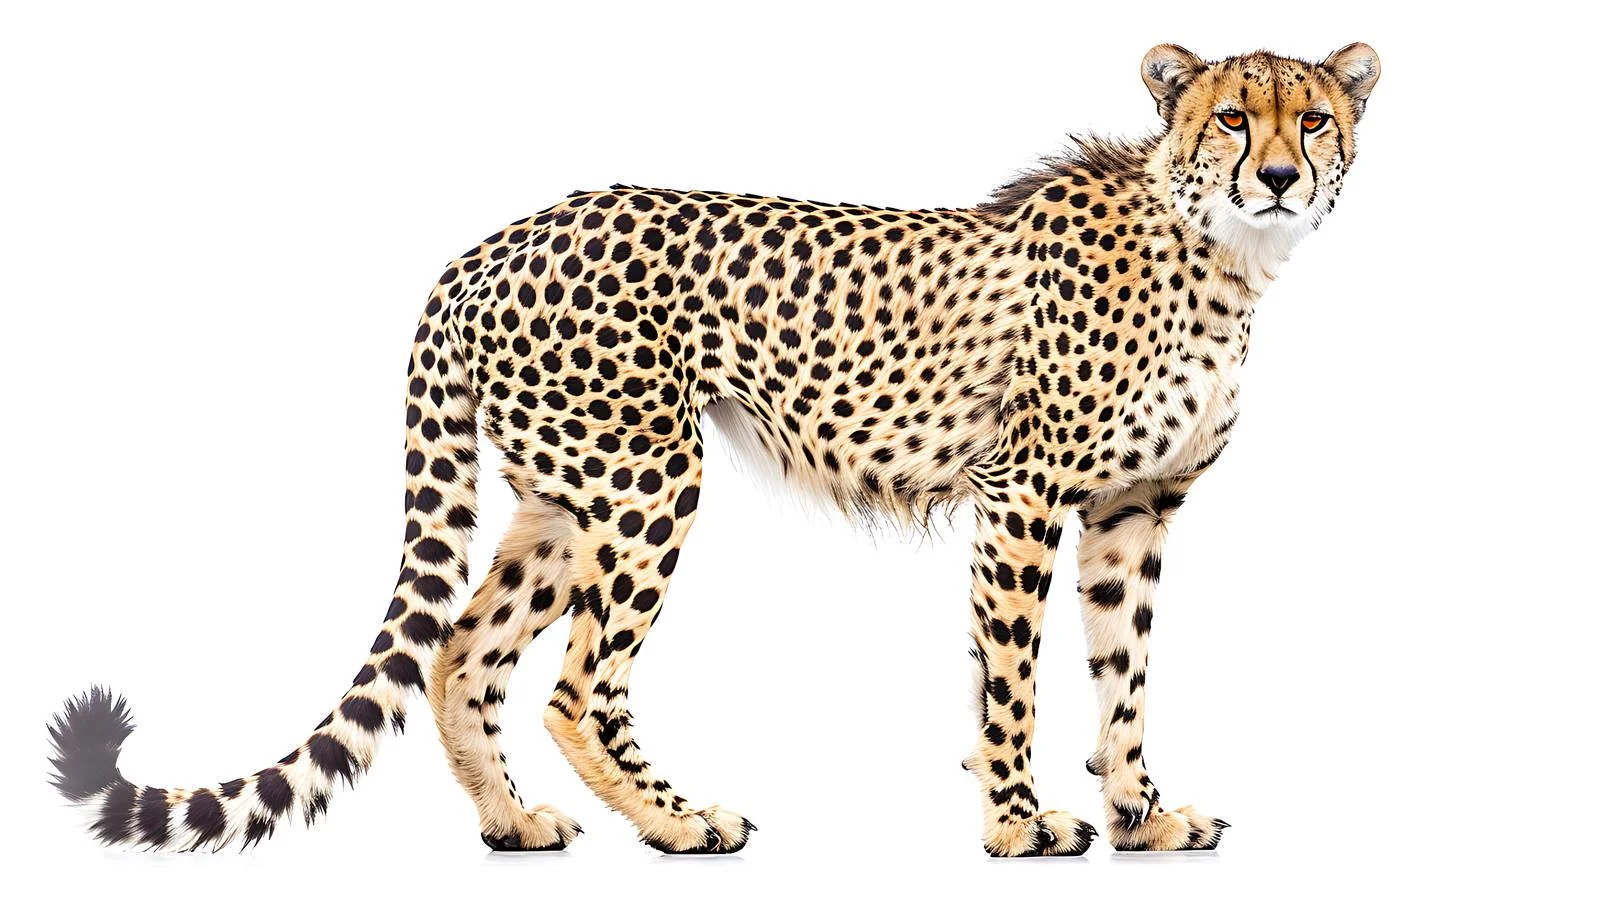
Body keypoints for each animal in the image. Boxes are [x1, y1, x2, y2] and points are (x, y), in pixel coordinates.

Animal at [48, 43, 1380, 857]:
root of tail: (493, 237)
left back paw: (516, 824)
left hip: (564, 498)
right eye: (1230, 119)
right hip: (649, 479)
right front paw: (1017, 823)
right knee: (579, 687)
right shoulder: (1026, 496)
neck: (1221, 255)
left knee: (462, 653)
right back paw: (681, 823)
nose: (1276, 175)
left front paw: (1142, 818)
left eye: (1312, 117)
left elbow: (1124, 675)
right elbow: (1013, 678)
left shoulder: (1132, 513)